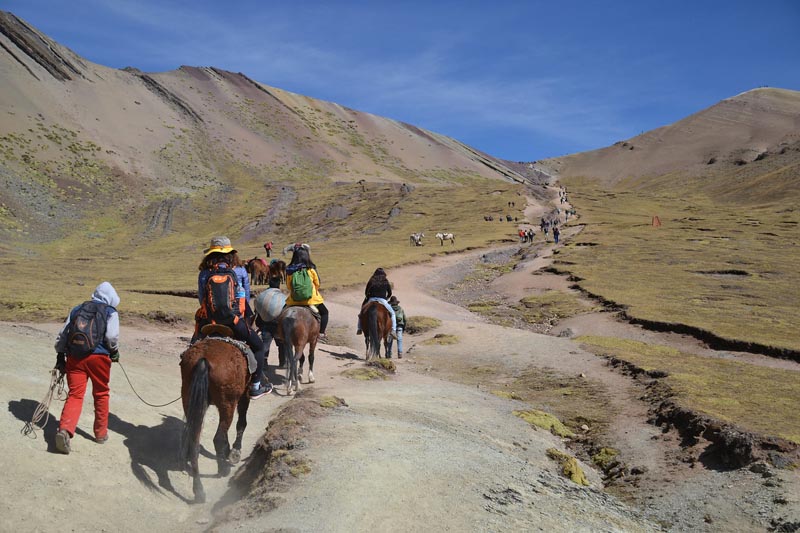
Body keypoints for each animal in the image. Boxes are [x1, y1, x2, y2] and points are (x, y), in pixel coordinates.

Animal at [180, 336, 250, 502]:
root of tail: (204, 358)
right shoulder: (245, 394)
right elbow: (241, 423)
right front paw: (234, 451)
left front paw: (228, 451)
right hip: (228, 403)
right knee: (217, 437)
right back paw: (223, 470)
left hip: (189, 398)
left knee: (194, 442)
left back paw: (199, 490)